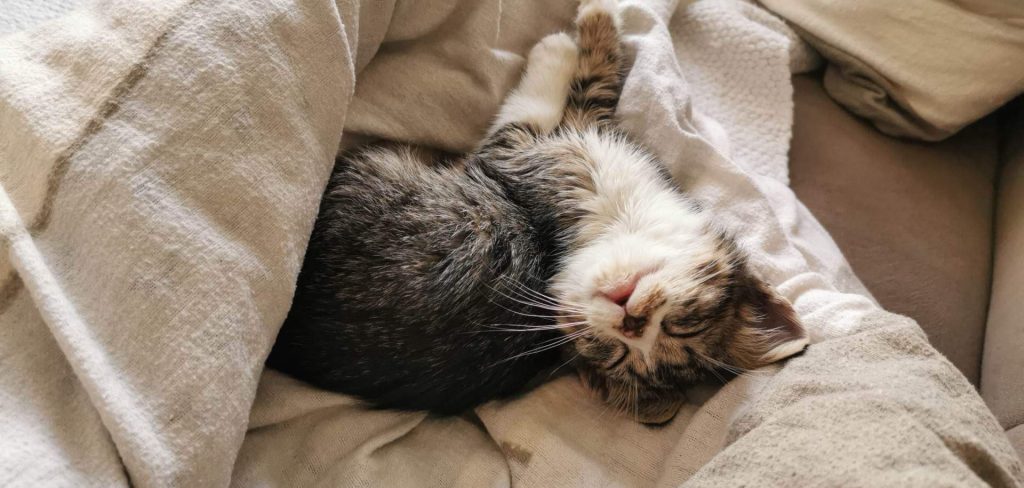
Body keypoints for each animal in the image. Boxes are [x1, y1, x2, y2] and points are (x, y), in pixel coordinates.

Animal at [266, 0, 806, 421]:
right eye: (681, 325)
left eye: (620, 355)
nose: (630, 321)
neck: (615, 221)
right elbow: (595, 88)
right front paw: (589, 33)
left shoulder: (519, 153)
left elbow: (558, 95)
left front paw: (571, 38)